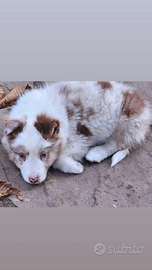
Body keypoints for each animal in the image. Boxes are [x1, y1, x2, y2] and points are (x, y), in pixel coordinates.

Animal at [1, 81, 152, 184]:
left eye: (43, 155)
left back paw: (96, 153)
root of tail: (143, 104)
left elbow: (57, 158)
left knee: (115, 143)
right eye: (21, 156)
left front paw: (75, 167)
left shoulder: (79, 140)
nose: (33, 179)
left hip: (127, 120)